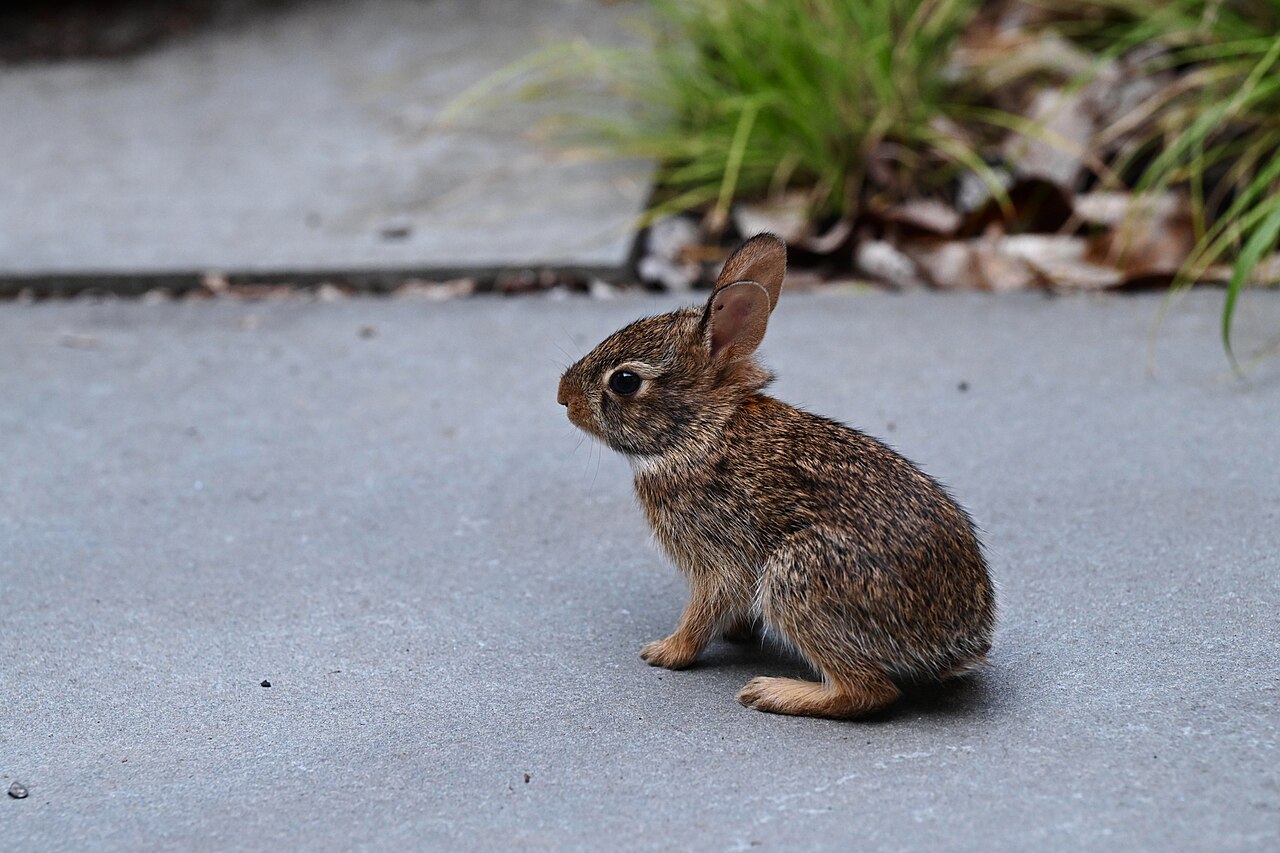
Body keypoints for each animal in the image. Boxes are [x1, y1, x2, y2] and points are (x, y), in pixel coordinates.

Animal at [556, 234, 995, 719]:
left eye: (625, 381)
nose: (563, 397)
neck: (700, 430)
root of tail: (959, 644)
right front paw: (735, 634)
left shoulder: (717, 558)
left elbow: (703, 611)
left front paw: (667, 652)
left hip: (797, 577)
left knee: (869, 691)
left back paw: (771, 691)